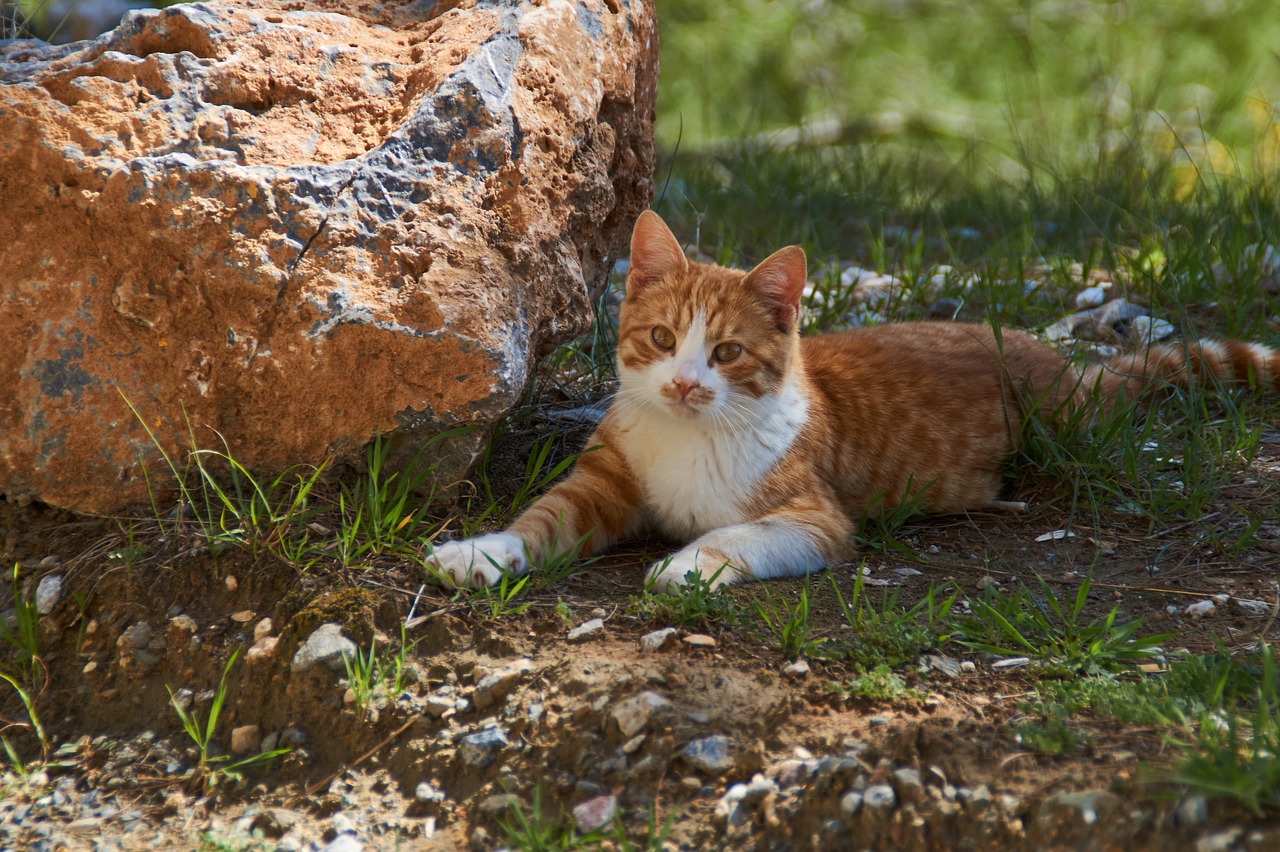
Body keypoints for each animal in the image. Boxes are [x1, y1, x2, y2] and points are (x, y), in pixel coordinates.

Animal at [430, 208, 1280, 588]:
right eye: (663, 339)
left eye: (727, 353)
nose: (684, 383)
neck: (690, 439)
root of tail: (1066, 366)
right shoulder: (603, 483)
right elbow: (542, 518)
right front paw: (484, 551)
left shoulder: (815, 518)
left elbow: (736, 534)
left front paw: (689, 564)